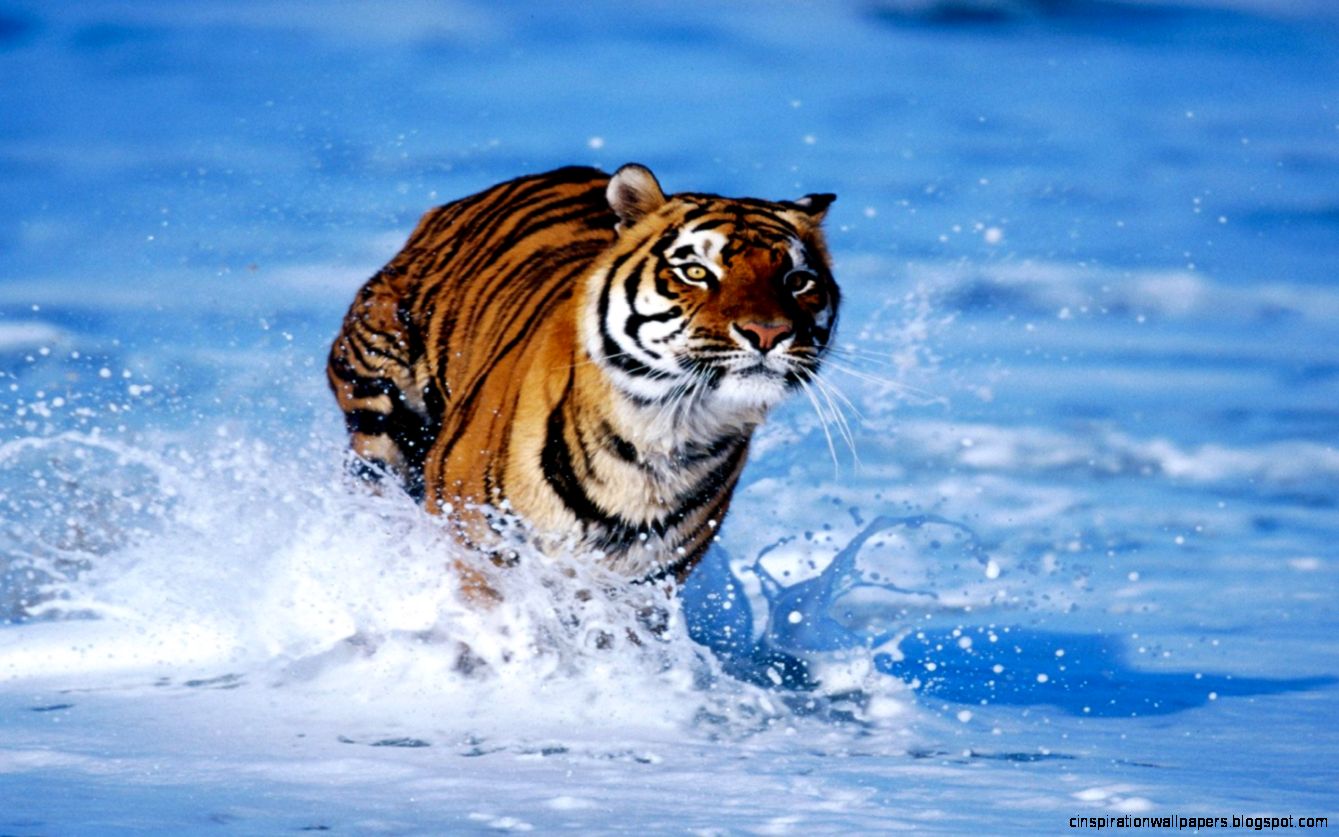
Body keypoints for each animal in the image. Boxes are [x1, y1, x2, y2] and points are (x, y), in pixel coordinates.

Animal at [327, 164, 838, 587]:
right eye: (695, 271)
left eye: (798, 281)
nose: (769, 332)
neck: (665, 435)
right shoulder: (478, 544)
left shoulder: (645, 585)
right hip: (380, 416)